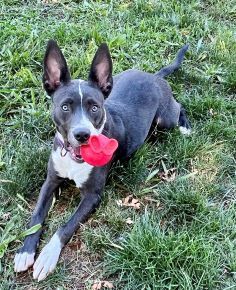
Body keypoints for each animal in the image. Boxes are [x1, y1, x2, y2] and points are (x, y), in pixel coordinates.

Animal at [13, 39, 190, 280]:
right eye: (65, 107)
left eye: (95, 107)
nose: (82, 134)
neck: (73, 158)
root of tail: (155, 77)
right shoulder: (49, 182)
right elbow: (37, 215)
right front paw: (25, 251)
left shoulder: (92, 196)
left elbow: (66, 226)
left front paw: (48, 256)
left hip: (165, 119)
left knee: (180, 107)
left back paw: (185, 127)